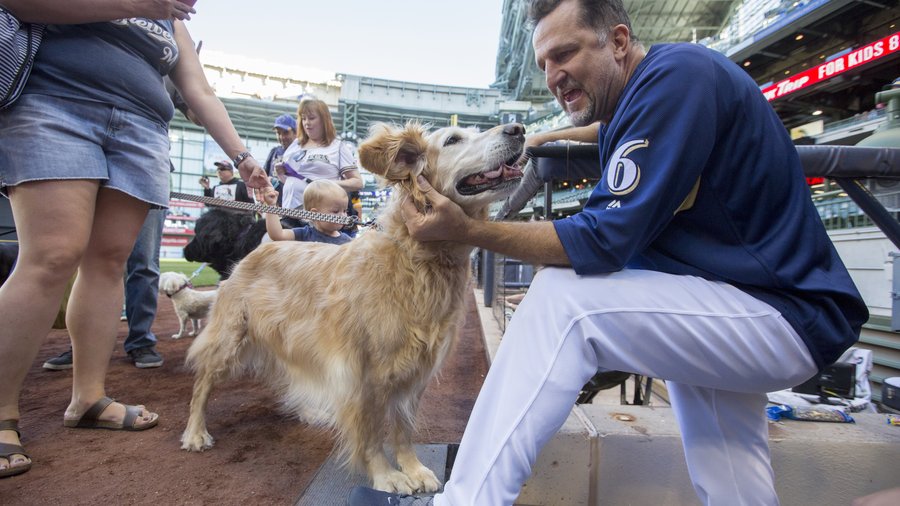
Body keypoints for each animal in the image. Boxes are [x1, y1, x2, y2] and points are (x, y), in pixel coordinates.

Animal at [179, 120, 524, 492]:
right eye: (453, 140)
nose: (518, 128)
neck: (416, 258)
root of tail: (257, 249)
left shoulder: (415, 373)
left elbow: (403, 430)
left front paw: (413, 468)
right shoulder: (363, 375)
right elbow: (371, 435)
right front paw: (386, 474)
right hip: (229, 340)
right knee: (202, 385)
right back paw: (195, 432)